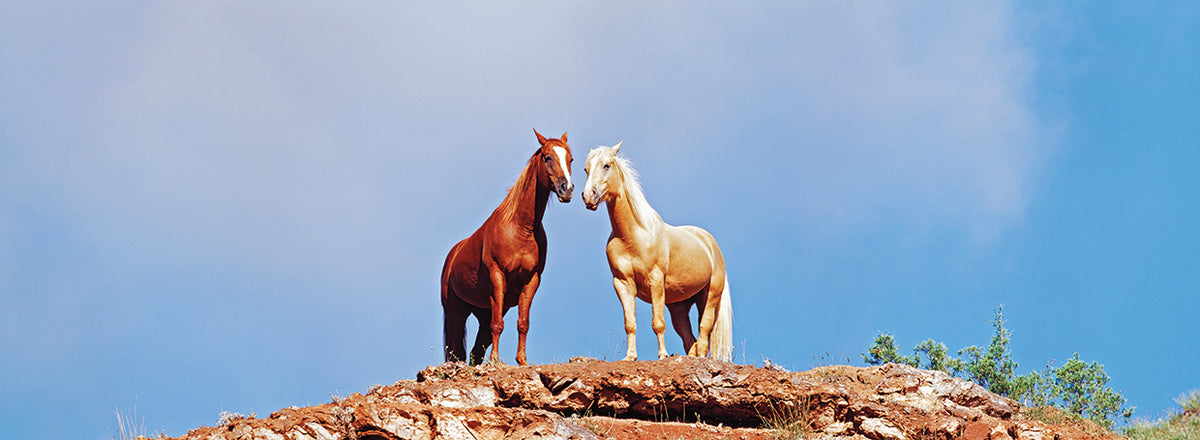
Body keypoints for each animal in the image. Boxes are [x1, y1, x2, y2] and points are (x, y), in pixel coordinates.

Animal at [440, 129, 574, 366]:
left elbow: (523, 323)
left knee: (476, 350)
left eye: (571, 159)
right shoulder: (497, 275)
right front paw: (496, 360)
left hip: (484, 310)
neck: (521, 228)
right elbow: (498, 326)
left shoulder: (531, 280)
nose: (566, 189)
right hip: (456, 310)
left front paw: (522, 361)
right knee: (458, 350)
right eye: (547, 157)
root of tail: (453, 254)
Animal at [581, 142, 733, 361]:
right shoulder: (622, 283)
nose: (588, 196)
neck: (632, 235)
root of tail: (710, 243)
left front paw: (662, 355)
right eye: (586, 169)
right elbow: (630, 323)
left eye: (607, 165)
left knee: (704, 333)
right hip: (679, 306)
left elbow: (658, 323)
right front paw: (630, 357)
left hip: (710, 296)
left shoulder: (655, 279)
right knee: (690, 340)